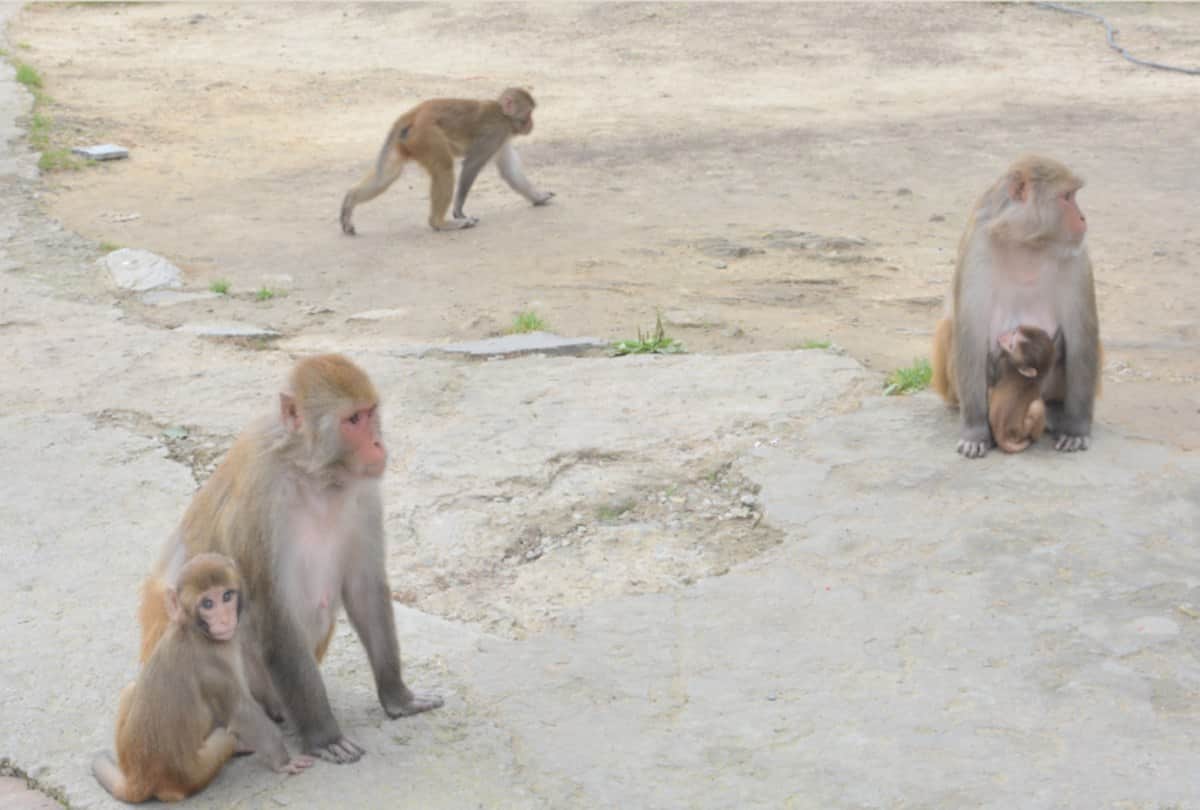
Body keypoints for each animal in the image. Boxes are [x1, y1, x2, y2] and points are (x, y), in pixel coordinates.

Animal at [94, 554, 312, 803]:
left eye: (226, 596)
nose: (225, 619)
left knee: (131, 688)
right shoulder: (213, 667)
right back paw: (237, 745)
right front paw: (284, 762)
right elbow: (242, 713)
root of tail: (138, 779)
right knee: (225, 736)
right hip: (193, 774)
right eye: (208, 604)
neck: (195, 631)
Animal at [138, 354, 442, 765]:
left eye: (370, 413)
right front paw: (324, 736)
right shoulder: (260, 504)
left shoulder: (363, 495)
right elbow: (272, 612)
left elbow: (364, 589)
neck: (313, 474)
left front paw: (398, 697)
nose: (379, 443)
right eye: (353, 420)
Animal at [340, 87, 554, 234]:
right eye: (529, 113)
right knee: (444, 169)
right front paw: (458, 210)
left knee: (387, 175)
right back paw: (440, 223)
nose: (532, 124)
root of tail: (415, 113)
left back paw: (350, 200)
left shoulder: (502, 137)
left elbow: (509, 170)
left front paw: (538, 197)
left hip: (407, 141)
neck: (503, 114)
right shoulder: (496, 132)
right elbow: (472, 164)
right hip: (427, 136)